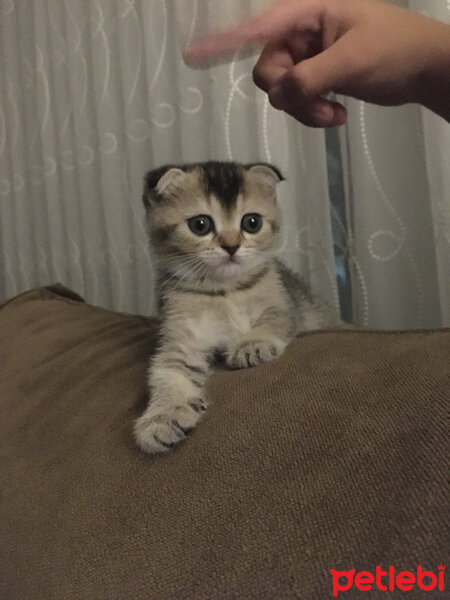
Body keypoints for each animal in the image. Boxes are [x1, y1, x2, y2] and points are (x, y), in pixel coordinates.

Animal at [134, 162, 342, 452]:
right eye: (200, 225)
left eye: (251, 222)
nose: (231, 246)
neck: (225, 292)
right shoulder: (181, 339)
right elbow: (166, 371)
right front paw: (163, 417)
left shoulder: (284, 306)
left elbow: (273, 321)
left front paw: (250, 345)